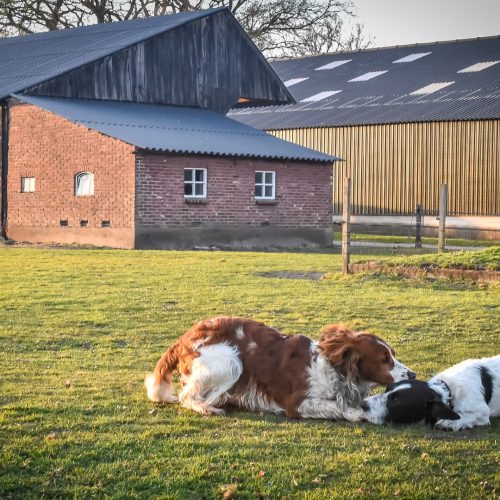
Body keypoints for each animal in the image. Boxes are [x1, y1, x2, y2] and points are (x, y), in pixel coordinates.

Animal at [144, 318, 414, 420]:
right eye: (384, 359)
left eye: (392, 354)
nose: (412, 374)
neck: (334, 370)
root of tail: (184, 338)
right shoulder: (297, 403)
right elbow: (342, 408)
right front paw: (356, 412)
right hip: (232, 362)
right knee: (187, 396)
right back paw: (207, 408)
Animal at [362, 356, 498, 430]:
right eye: (387, 389)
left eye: (396, 400)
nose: (363, 404)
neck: (449, 389)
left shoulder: (482, 413)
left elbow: (467, 416)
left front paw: (450, 422)